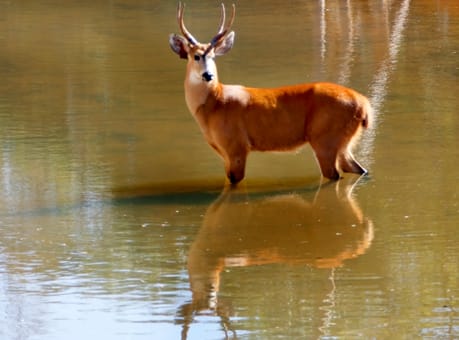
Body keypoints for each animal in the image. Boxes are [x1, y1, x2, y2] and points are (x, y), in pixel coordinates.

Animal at [169, 2, 374, 185]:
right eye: (196, 56)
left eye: (212, 57)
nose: (208, 75)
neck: (214, 105)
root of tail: (364, 105)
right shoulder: (224, 152)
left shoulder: (236, 145)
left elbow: (234, 182)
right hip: (342, 140)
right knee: (358, 169)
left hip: (325, 137)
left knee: (334, 174)